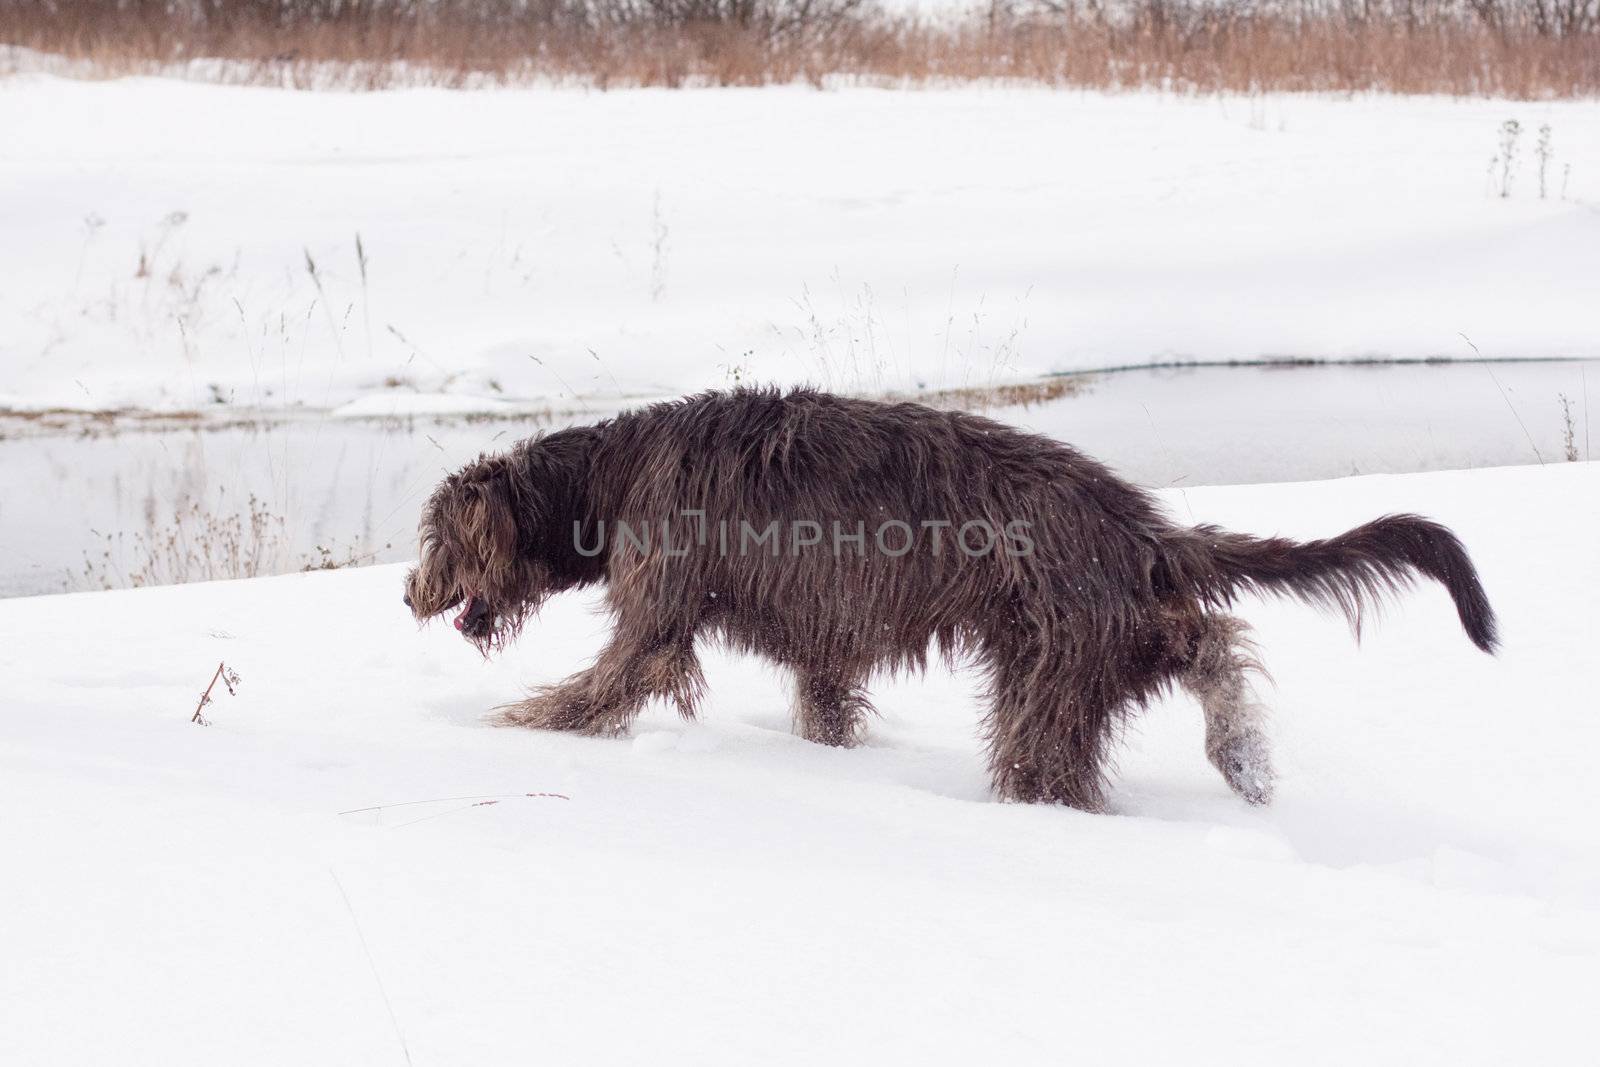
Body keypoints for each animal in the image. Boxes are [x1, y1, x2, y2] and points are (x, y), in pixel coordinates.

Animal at [406, 388, 1491, 812]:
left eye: (434, 536)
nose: (408, 593)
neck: (608, 477)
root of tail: (1139, 526)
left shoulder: (659, 607)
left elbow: (605, 680)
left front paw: (513, 725)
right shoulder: (823, 639)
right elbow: (825, 702)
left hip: (1056, 656)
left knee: (1061, 746)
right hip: (1099, 634)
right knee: (1206, 644)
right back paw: (1243, 752)